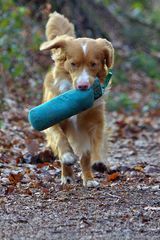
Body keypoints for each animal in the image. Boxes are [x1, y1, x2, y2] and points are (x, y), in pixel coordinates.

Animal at [39, 11, 114, 188]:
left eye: (93, 64)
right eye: (73, 64)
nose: (83, 86)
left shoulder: (95, 121)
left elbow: (96, 143)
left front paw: (98, 161)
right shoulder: (53, 120)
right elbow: (60, 138)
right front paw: (67, 156)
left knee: (85, 157)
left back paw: (89, 178)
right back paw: (66, 176)